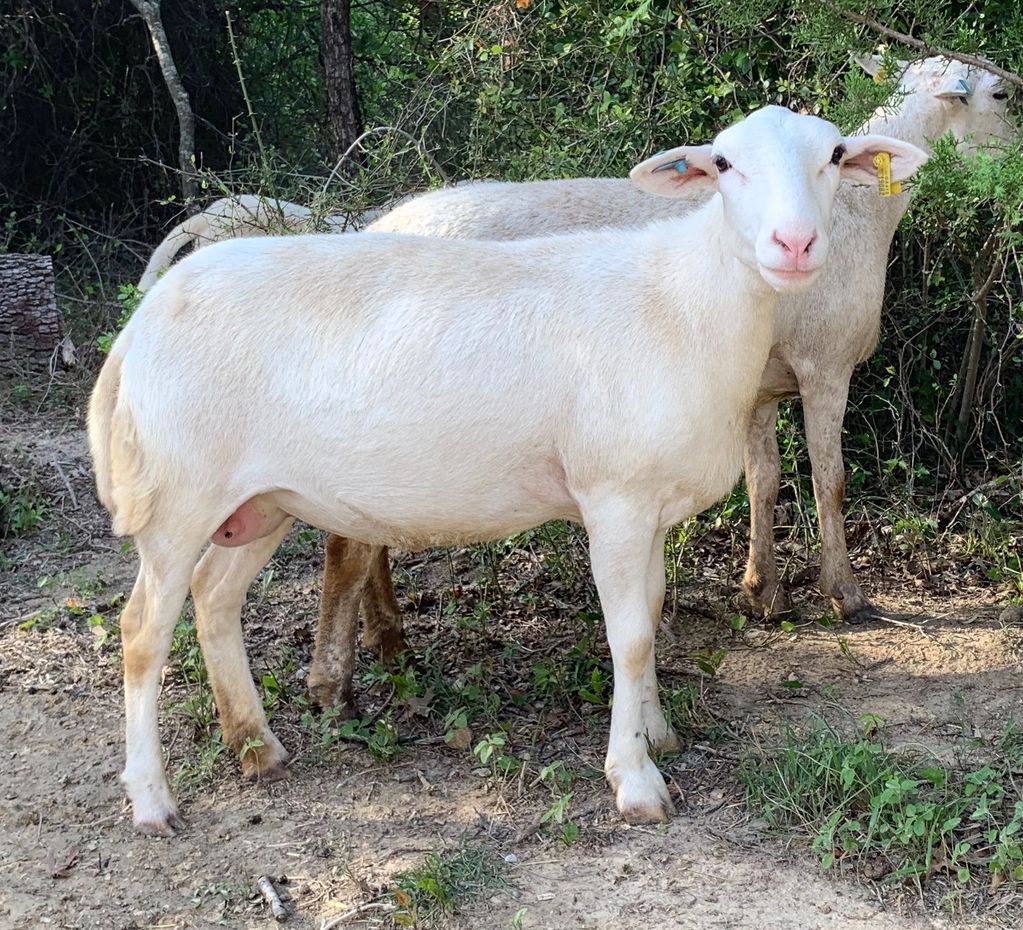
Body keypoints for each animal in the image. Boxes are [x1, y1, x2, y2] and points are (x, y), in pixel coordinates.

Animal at [85, 105, 920, 830]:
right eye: (722, 165)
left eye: (833, 156)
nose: (794, 244)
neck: (686, 306)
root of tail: (142, 320)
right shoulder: (613, 497)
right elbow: (628, 635)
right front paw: (635, 780)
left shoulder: (647, 502)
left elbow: (649, 616)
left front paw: (657, 732)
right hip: (181, 493)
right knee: (141, 632)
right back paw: (152, 800)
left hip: (259, 499)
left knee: (214, 599)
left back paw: (256, 745)